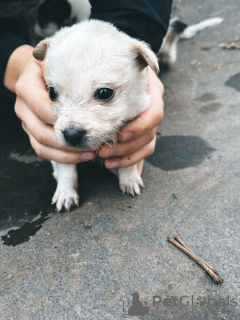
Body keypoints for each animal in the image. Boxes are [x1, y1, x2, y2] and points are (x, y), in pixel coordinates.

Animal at [32, 18, 158, 211]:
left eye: (105, 92)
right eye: (52, 92)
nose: (71, 135)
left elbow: (128, 160)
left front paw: (129, 178)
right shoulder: (60, 147)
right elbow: (66, 169)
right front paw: (66, 193)